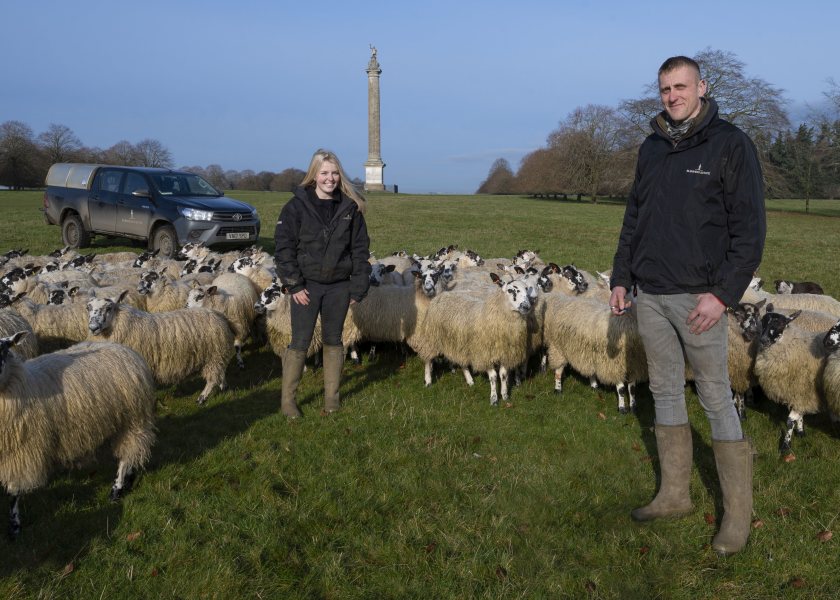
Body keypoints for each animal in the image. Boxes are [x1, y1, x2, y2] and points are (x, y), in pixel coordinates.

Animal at [0, 332, 156, 540]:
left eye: (4, 349)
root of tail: (126, 349)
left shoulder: (20, 454)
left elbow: (13, 493)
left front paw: (15, 526)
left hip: (132, 420)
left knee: (126, 456)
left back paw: (117, 489)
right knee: (133, 453)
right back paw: (129, 480)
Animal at [86, 292, 233, 406]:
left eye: (109, 308)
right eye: (88, 307)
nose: (93, 328)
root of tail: (219, 315)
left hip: (214, 355)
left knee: (213, 378)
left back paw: (202, 398)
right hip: (218, 354)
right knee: (221, 372)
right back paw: (223, 387)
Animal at [410, 274, 536, 406]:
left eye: (527, 290)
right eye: (511, 290)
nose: (526, 307)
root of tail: (441, 295)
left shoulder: (505, 352)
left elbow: (503, 375)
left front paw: (505, 394)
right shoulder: (484, 353)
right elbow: (493, 377)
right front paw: (494, 398)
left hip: (458, 342)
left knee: (462, 362)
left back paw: (470, 380)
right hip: (432, 337)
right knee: (428, 358)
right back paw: (428, 380)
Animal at [752, 310, 832, 454]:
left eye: (780, 323)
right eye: (763, 321)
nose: (763, 340)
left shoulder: (802, 389)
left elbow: (790, 421)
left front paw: (786, 445)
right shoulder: (798, 392)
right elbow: (799, 414)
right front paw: (800, 431)